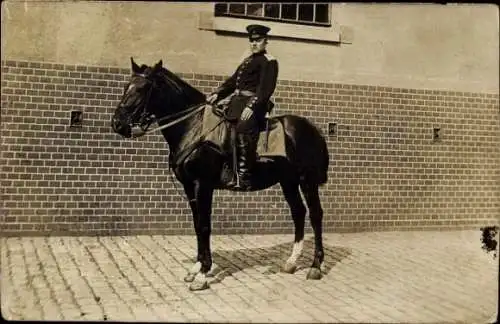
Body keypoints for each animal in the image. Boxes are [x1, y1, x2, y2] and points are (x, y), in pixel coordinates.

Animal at [112, 58, 330, 292]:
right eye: (126, 87)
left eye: (142, 89)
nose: (117, 124)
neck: (194, 126)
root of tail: (313, 129)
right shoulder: (189, 187)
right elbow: (197, 224)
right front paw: (196, 267)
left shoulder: (203, 185)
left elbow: (205, 226)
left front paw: (202, 274)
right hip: (287, 181)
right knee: (298, 212)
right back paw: (291, 262)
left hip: (306, 180)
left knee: (315, 214)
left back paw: (315, 266)